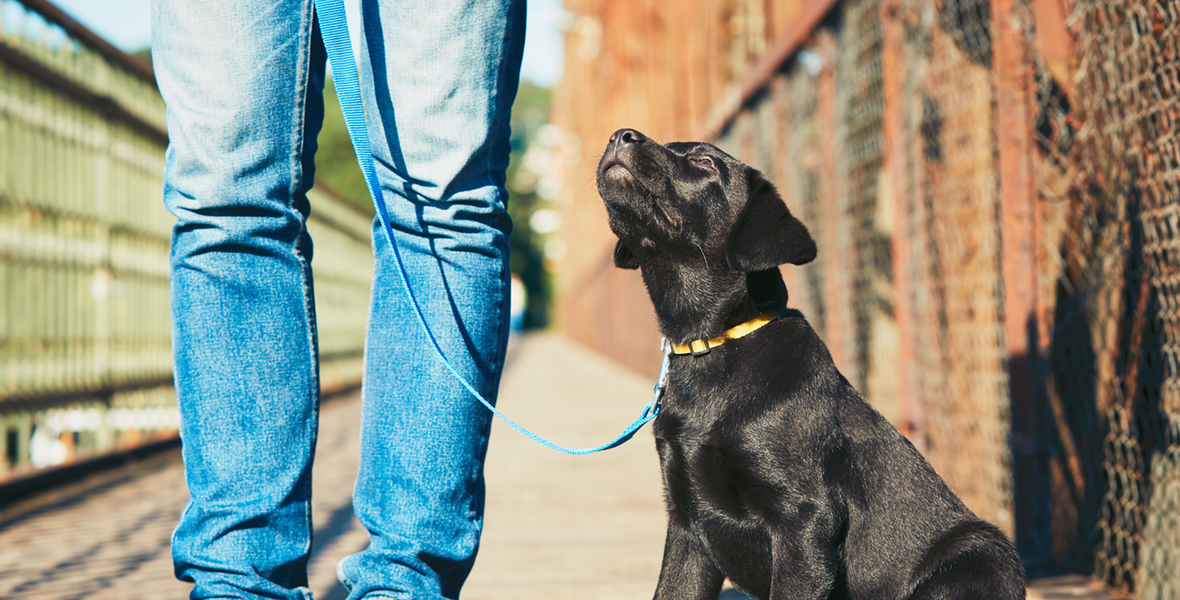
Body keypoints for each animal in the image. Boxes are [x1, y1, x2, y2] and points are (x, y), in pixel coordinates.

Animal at [594, 127, 1028, 600]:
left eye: (706, 163)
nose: (620, 135)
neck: (713, 346)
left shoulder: (803, 521)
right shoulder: (688, 526)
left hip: (979, 553)